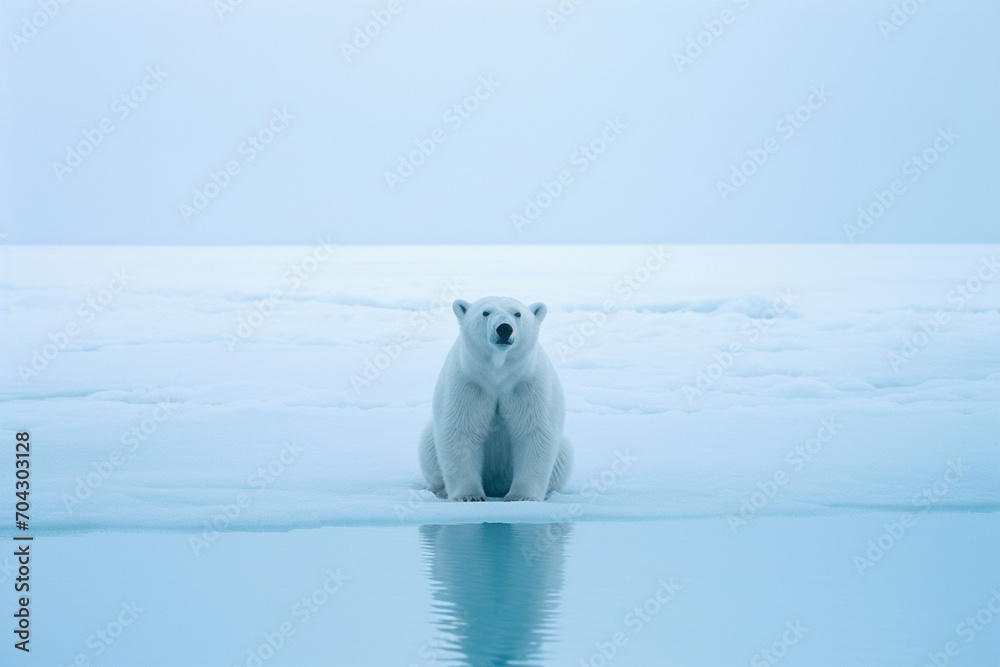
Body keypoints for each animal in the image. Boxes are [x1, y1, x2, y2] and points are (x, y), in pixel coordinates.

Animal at [419, 296, 572, 501]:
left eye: (517, 313)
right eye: (486, 312)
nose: (504, 328)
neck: (498, 374)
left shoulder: (527, 385)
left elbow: (534, 432)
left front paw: (521, 496)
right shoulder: (469, 384)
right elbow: (461, 431)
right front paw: (469, 496)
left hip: (562, 450)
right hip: (430, 445)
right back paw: (440, 491)